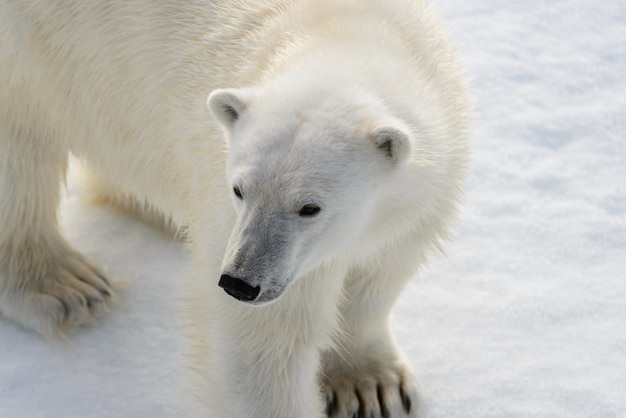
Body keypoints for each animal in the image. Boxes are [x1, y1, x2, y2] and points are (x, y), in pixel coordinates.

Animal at [0, 0, 468, 416]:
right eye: (239, 190)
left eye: (310, 207)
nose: (239, 283)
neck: (349, 38)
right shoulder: (227, 206)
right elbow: (262, 343)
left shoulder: (426, 191)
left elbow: (379, 275)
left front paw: (370, 387)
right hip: (28, 55)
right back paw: (66, 287)